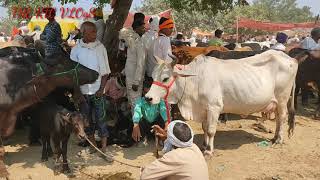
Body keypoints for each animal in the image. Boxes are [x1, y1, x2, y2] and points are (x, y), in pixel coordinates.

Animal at [146, 50, 298, 155]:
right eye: (153, 77)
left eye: (165, 78)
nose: (148, 98)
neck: (195, 80)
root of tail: (291, 58)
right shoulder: (204, 109)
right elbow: (205, 128)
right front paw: (204, 145)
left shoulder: (214, 108)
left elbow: (211, 130)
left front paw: (208, 151)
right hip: (277, 102)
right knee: (278, 119)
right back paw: (274, 137)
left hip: (282, 99)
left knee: (282, 118)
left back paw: (279, 140)